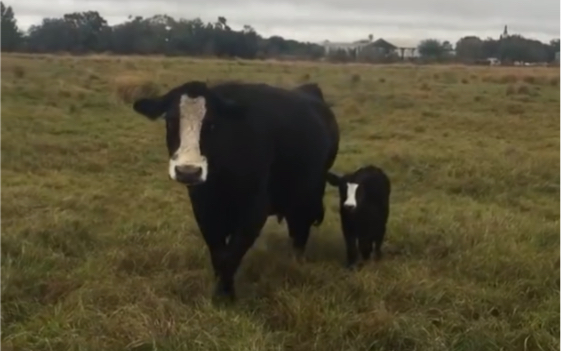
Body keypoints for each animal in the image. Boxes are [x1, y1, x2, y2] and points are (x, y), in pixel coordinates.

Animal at [132, 82, 340, 300]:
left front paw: (225, 296)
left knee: (300, 229)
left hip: (307, 195)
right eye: (171, 121)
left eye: (212, 124)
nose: (188, 171)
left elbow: (231, 255)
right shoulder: (204, 210)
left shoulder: (254, 212)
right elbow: (218, 254)